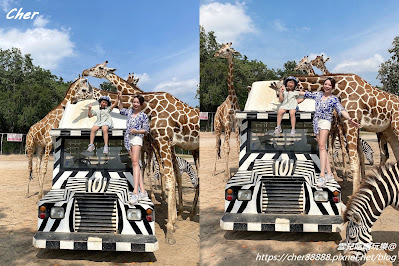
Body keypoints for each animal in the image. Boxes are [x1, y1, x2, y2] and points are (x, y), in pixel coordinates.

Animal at [82, 64, 200, 243]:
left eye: (100, 67)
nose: (84, 72)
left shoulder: (160, 143)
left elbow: (167, 176)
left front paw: (171, 225)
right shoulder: (158, 145)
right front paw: (173, 214)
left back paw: (189, 212)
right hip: (193, 149)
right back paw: (189, 212)